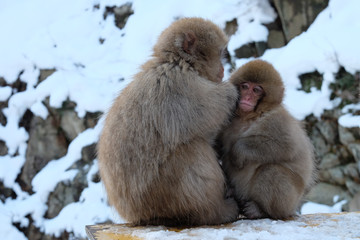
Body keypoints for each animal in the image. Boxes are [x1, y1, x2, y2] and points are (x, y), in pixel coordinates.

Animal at [97, 17, 240, 226]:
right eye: (221, 53)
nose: (222, 70)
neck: (177, 62)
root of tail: (138, 216)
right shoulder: (180, 85)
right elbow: (207, 115)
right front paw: (232, 91)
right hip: (163, 195)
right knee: (192, 149)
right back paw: (216, 212)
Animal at [218, 59, 316, 219]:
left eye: (256, 90)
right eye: (245, 86)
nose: (247, 98)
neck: (249, 117)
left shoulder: (277, 121)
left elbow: (286, 147)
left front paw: (237, 152)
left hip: (289, 202)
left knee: (271, 171)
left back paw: (261, 210)